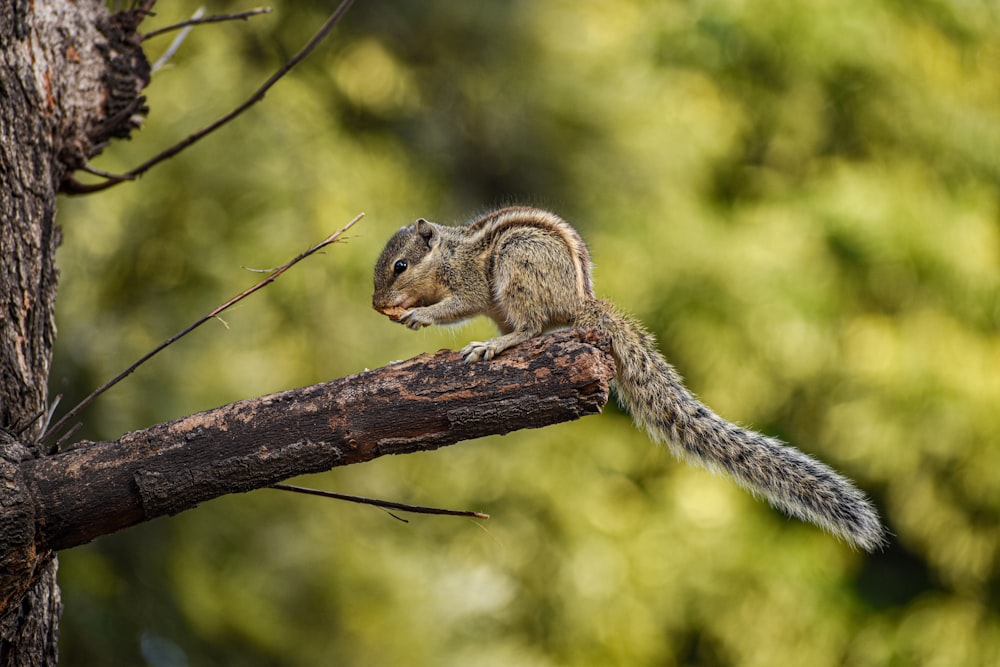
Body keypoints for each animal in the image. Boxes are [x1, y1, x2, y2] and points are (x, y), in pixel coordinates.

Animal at [372, 206, 888, 552]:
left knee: (531, 328)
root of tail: (581, 304)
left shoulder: (470, 283)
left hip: (518, 268)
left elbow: (455, 306)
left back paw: (496, 345)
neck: (445, 254)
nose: (378, 305)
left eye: (400, 266)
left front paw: (419, 315)